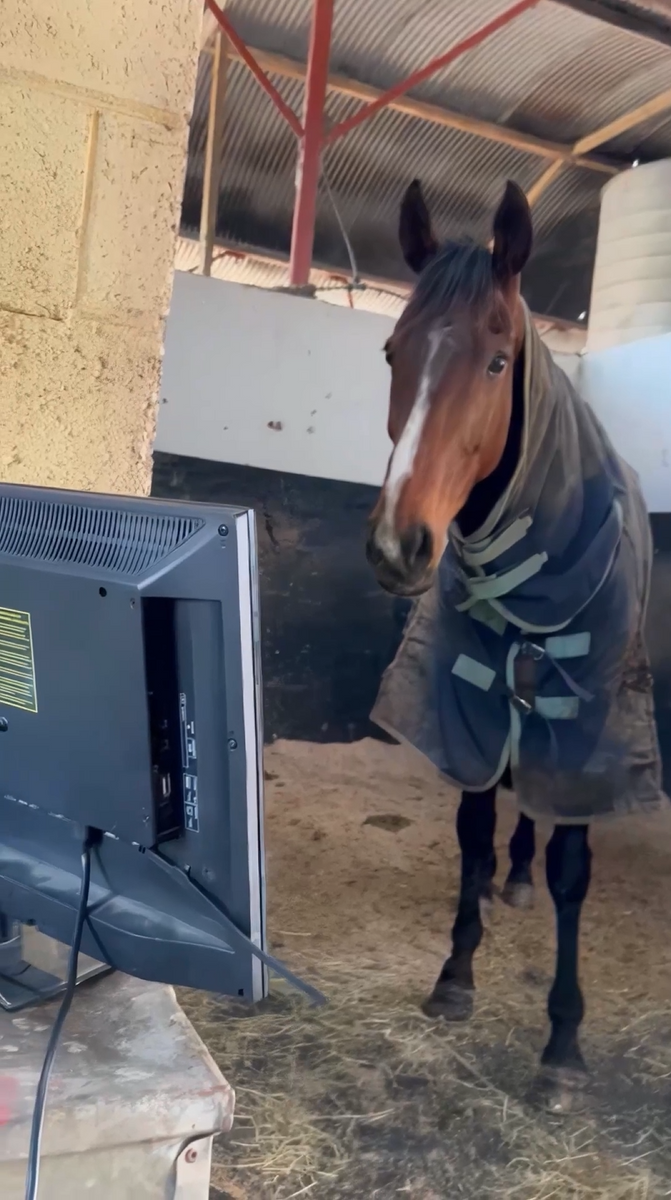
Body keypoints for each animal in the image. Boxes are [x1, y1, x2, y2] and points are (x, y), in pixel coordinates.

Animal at [366, 178, 663, 1110]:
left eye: (497, 364)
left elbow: (573, 864)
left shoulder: (591, 721)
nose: (397, 546)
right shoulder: (465, 698)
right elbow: (473, 827)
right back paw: (513, 877)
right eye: (392, 352)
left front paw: (561, 1042)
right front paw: (455, 975)